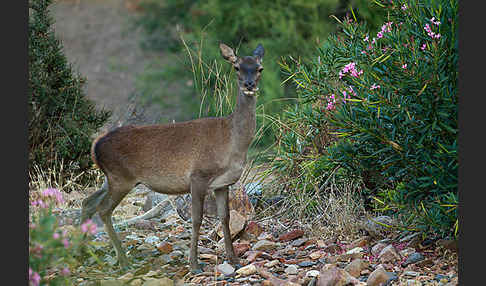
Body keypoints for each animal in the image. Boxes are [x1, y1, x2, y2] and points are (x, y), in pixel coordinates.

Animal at [81, 42, 266, 272]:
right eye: (237, 67)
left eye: (259, 68)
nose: (249, 85)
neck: (232, 142)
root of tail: (96, 145)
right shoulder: (198, 176)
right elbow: (196, 219)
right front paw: (194, 264)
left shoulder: (223, 183)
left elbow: (225, 217)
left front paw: (233, 259)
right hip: (121, 177)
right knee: (103, 210)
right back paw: (123, 261)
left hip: (112, 178)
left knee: (87, 202)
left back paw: (80, 253)